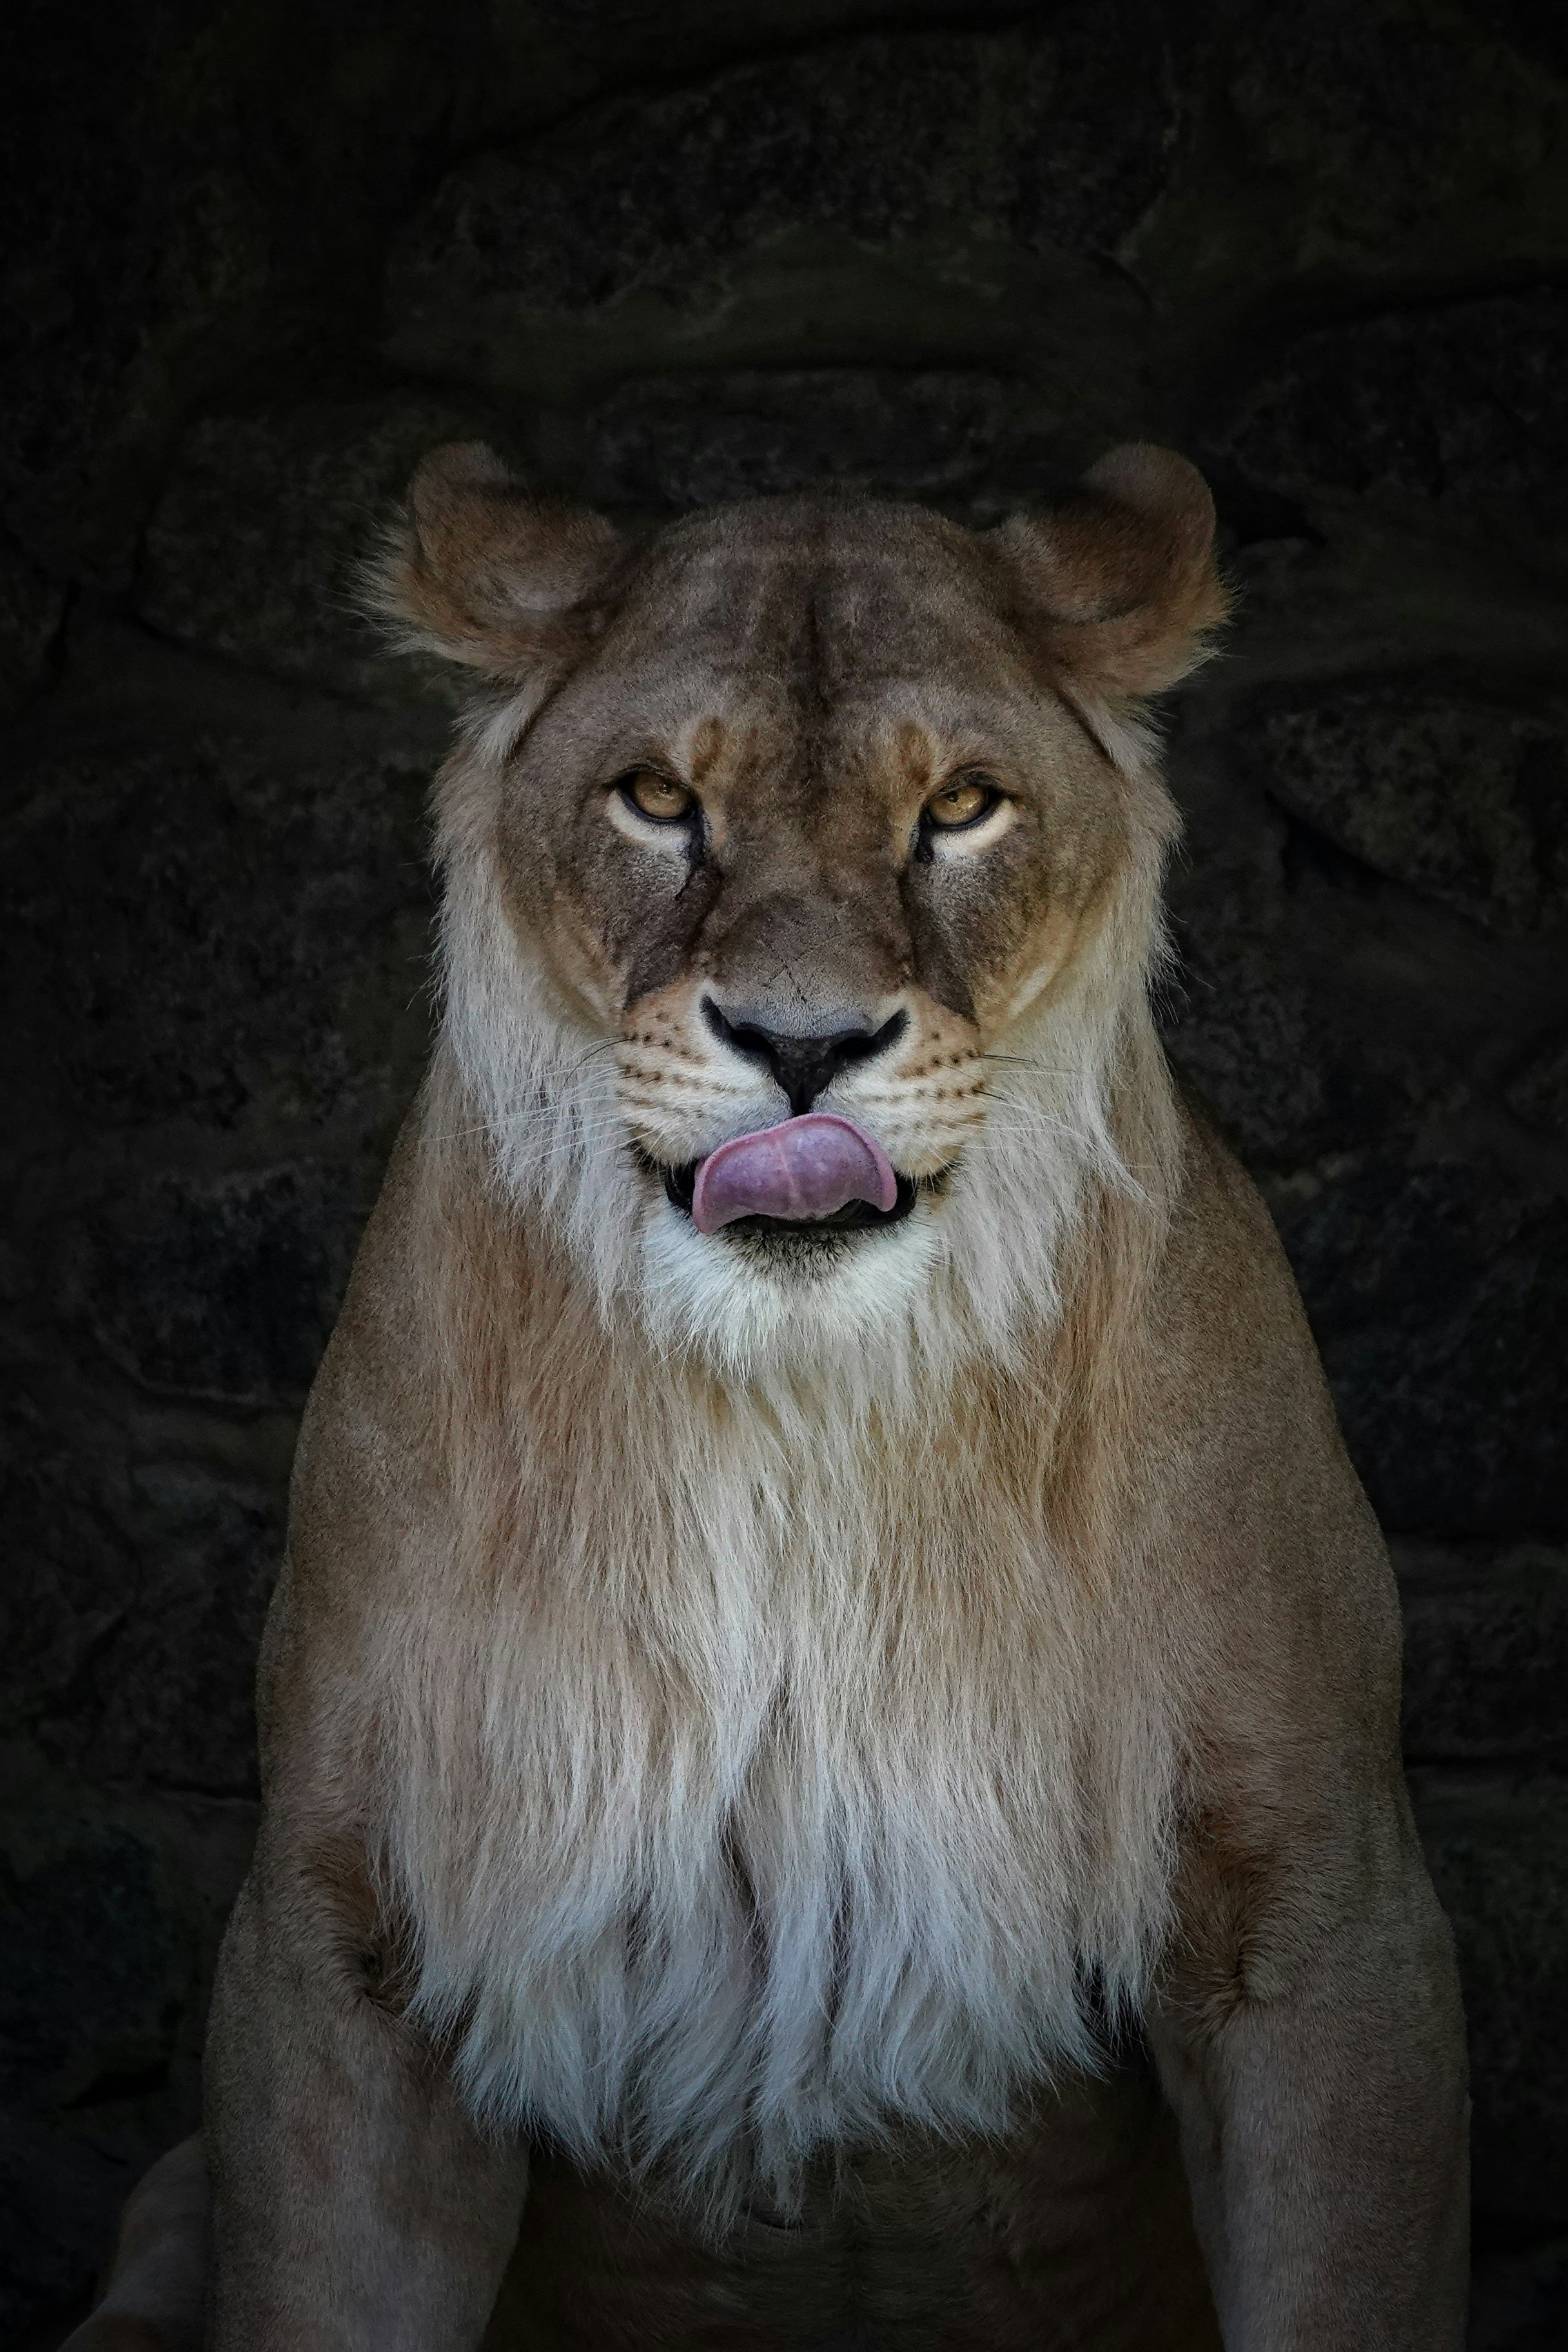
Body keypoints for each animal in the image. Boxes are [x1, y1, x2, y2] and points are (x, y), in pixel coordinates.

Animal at [64, 443, 1467, 2352]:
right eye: (659, 797)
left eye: (962, 806)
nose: (804, 1050)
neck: (802, 1407)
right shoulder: (352, 1932)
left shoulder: (1316, 1916)